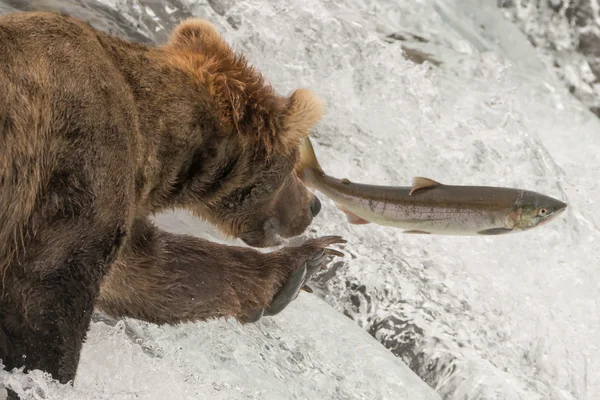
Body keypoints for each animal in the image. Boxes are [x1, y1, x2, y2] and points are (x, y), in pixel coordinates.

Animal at [0, 10, 344, 390]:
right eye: (293, 163)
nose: (314, 206)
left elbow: (151, 271)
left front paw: (305, 264)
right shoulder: (78, 161)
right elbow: (47, 291)